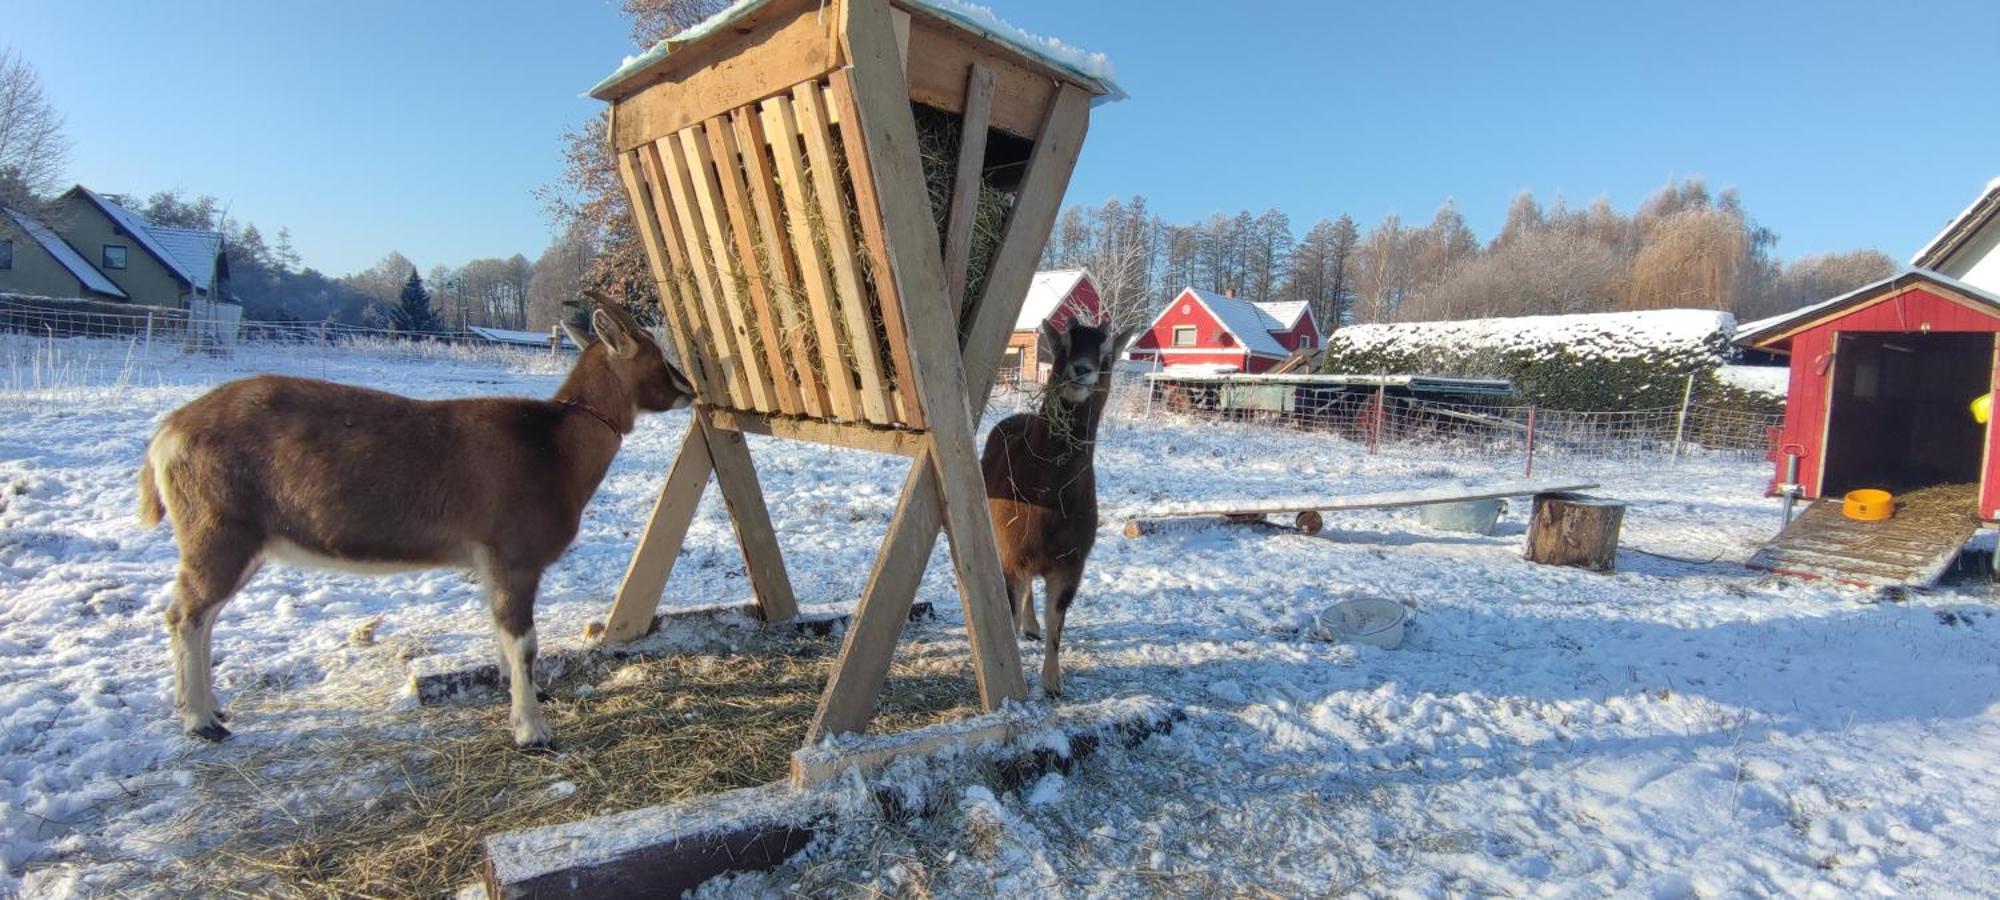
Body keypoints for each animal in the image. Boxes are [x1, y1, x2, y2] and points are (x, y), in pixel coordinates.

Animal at [137, 298, 692, 748]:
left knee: (204, 616)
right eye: (655, 351)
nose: (687, 385)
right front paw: (532, 731)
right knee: (185, 614)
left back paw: (210, 706)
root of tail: (168, 432)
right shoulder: (513, 556)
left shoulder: (488, 562)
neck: (553, 446)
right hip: (217, 532)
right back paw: (202, 722)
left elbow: (500, 634)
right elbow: (523, 643)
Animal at [980, 322, 1128, 696]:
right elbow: (1010, 607)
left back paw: (1032, 627)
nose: (1081, 370)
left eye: (1107, 353)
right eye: (1063, 346)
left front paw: (1052, 683)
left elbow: (1057, 620)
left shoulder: (1071, 562)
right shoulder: (1010, 551)